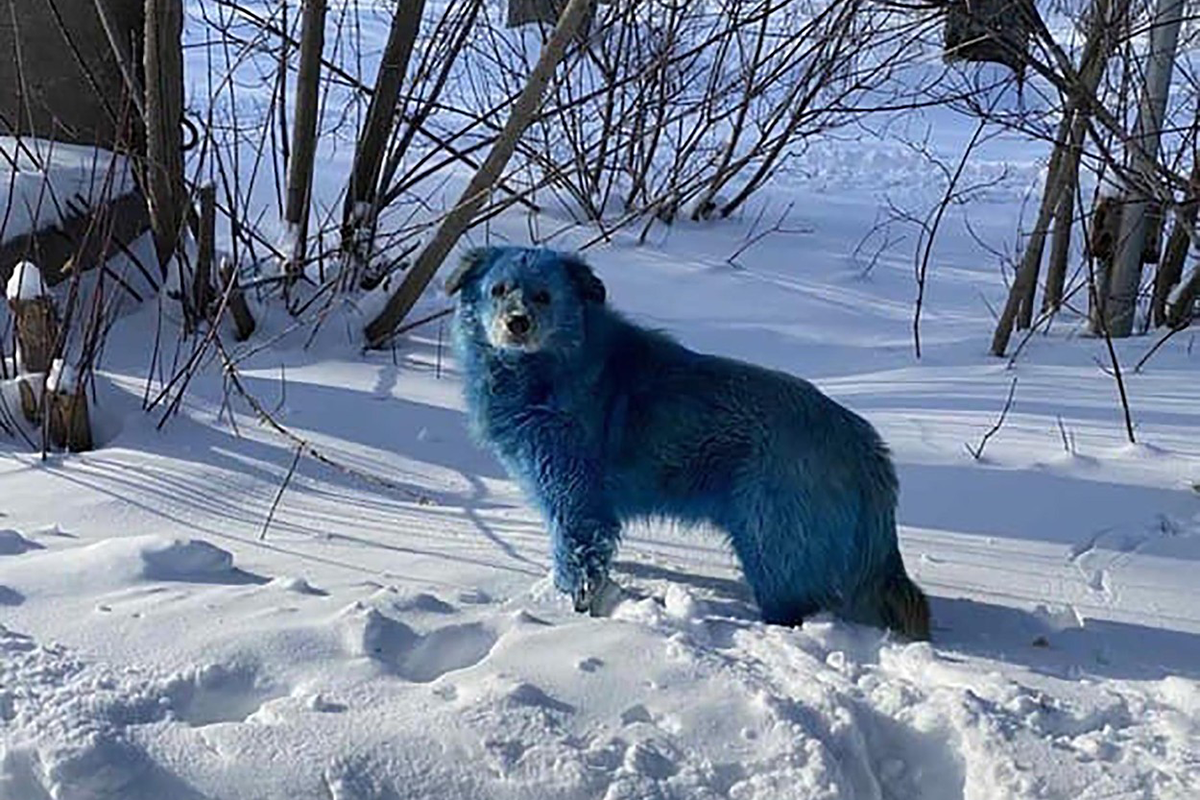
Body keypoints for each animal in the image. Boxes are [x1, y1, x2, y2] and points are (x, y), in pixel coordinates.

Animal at [448, 247, 926, 642]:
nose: (516, 323)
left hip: (769, 545)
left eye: (544, 296)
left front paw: (571, 614)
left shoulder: (575, 501)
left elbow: (578, 562)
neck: (552, 368)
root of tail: (864, 445)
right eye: (498, 290)